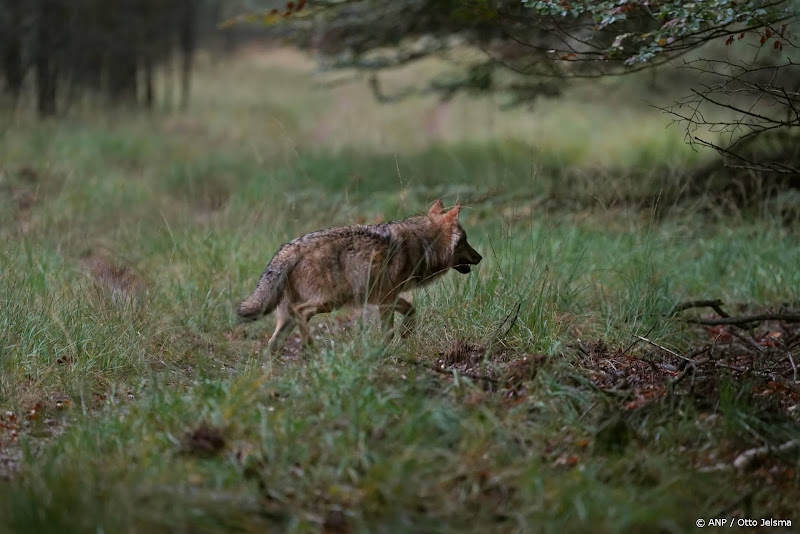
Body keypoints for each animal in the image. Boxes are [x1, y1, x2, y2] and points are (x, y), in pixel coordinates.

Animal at [237, 200, 482, 354]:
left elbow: (412, 311)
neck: (423, 244)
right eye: (466, 240)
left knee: (272, 344)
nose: (480, 257)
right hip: (331, 301)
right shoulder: (386, 300)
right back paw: (311, 350)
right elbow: (389, 331)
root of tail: (291, 248)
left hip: (291, 314)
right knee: (302, 314)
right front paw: (384, 351)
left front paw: (405, 334)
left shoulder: (385, 298)